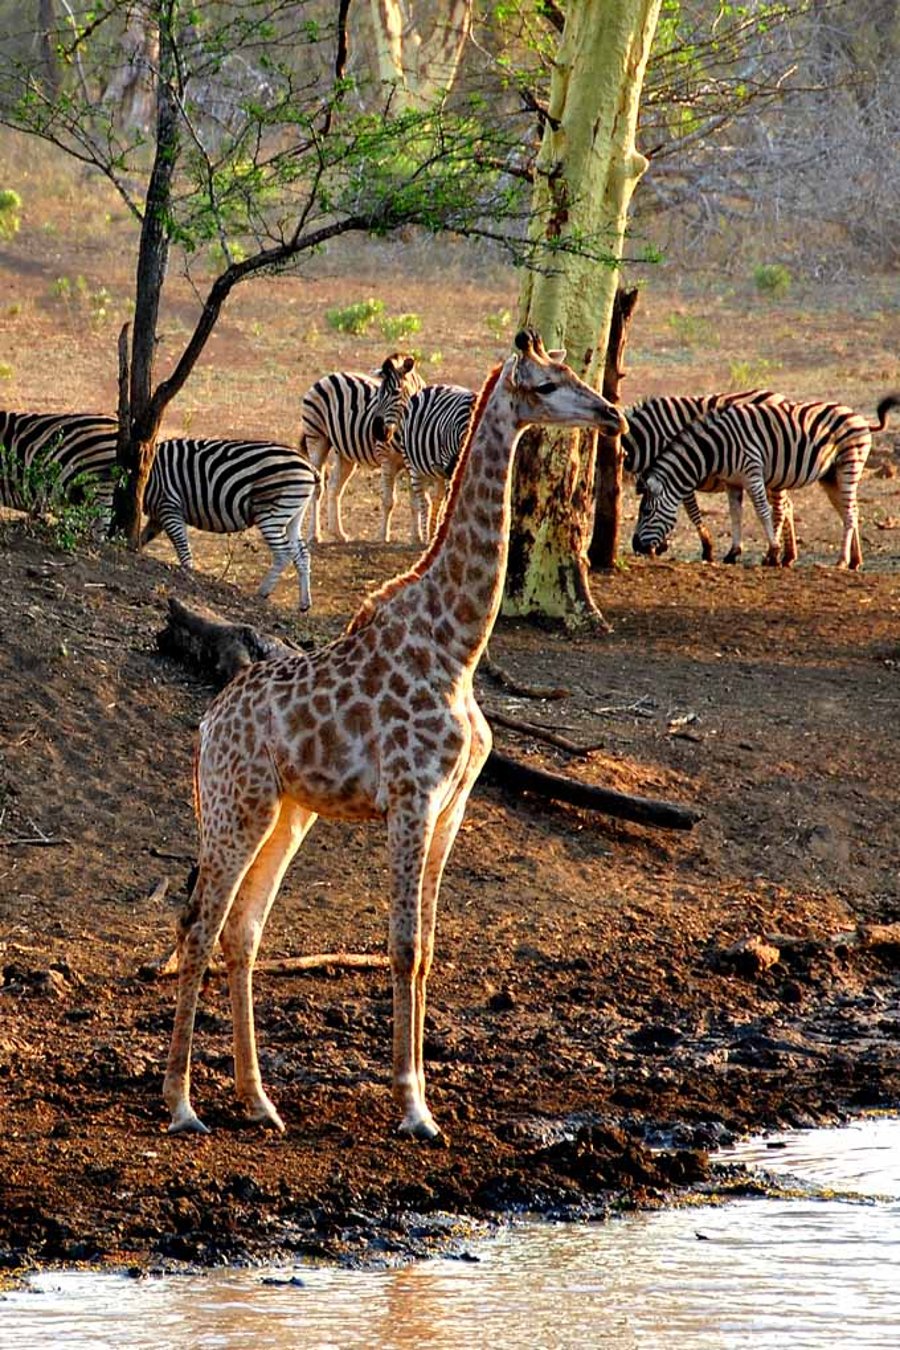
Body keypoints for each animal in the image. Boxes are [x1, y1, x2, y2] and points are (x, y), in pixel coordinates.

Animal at [163, 329, 627, 1141]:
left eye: (573, 370)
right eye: (544, 385)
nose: (610, 414)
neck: (457, 647)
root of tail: (208, 723)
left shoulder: (454, 805)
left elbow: (430, 947)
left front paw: (422, 1099)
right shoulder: (412, 798)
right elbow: (403, 946)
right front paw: (413, 1108)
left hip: (288, 813)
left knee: (241, 932)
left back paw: (260, 1103)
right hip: (235, 806)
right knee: (198, 925)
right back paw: (183, 1105)